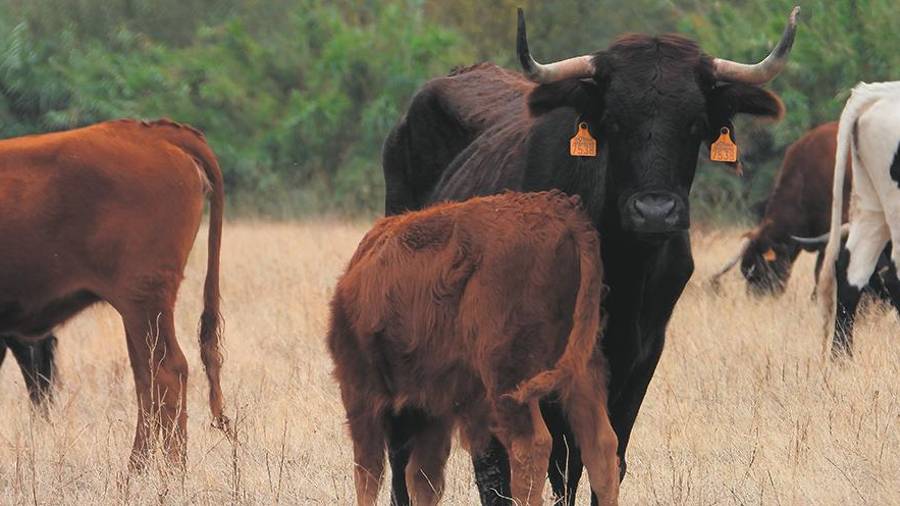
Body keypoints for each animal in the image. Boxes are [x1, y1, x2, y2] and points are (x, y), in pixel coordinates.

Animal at [0, 118, 229, 466]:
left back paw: (170, 471)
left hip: (144, 302)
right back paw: (137, 469)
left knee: (168, 371)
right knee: (146, 378)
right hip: (136, 309)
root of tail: (153, 132)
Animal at [328, 191, 620, 506]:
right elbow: (423, 478)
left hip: (508, 376)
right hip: (582, 369)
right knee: (602, 445)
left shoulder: (360, 392)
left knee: (531, 445)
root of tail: (567, 216)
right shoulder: (433, 409)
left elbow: (368, 473)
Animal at [378, 8, 796, 506]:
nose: (655, 211)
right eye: (613, 122)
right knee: (416, 450)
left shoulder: (637, 359)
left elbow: (598, 460)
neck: (618, 268)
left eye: (695, 123)